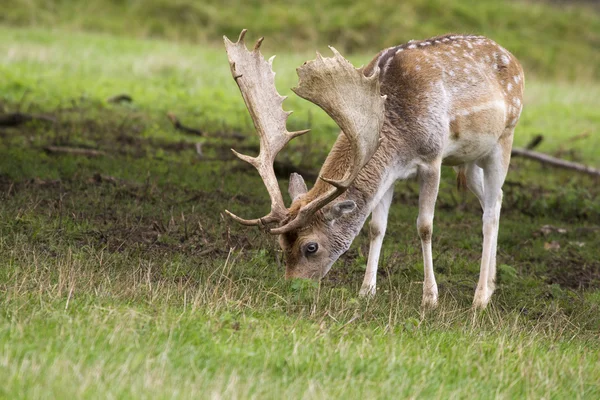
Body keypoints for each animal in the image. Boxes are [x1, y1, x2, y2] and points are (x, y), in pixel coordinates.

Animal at [223, 29, 524, 308]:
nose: (292, 285)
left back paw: (480, 298)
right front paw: (367, 291)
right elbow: (377, 226)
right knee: (495, 199)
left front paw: (430, 298)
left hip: (504, 137)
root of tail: (512, 57)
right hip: (469, 159)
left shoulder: (432, 158)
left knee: (491, 211)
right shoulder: (390, 174)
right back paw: (491, 285)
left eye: (311, 246)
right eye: (281, 244)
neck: (398, 135)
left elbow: (425, 226)